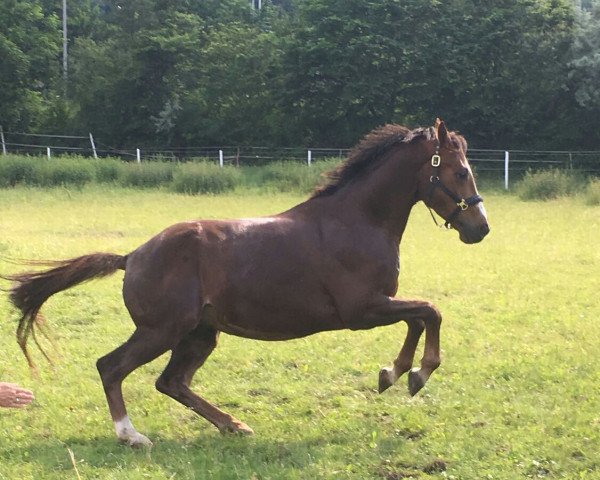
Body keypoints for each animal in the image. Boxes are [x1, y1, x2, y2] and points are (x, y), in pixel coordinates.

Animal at [3, 120, 488, 446]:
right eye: (461, 172)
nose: (480, 229)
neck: (356, 220)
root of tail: (132, 256)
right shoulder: (362, 309)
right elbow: (429, 312)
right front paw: (412, 373)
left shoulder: (378, 304)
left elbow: (420, 317)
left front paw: (397, 373)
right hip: (162, 330)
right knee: (112, 367)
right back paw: (132, 435)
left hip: (200, 334)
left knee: (171, 382)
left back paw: (233, 425)